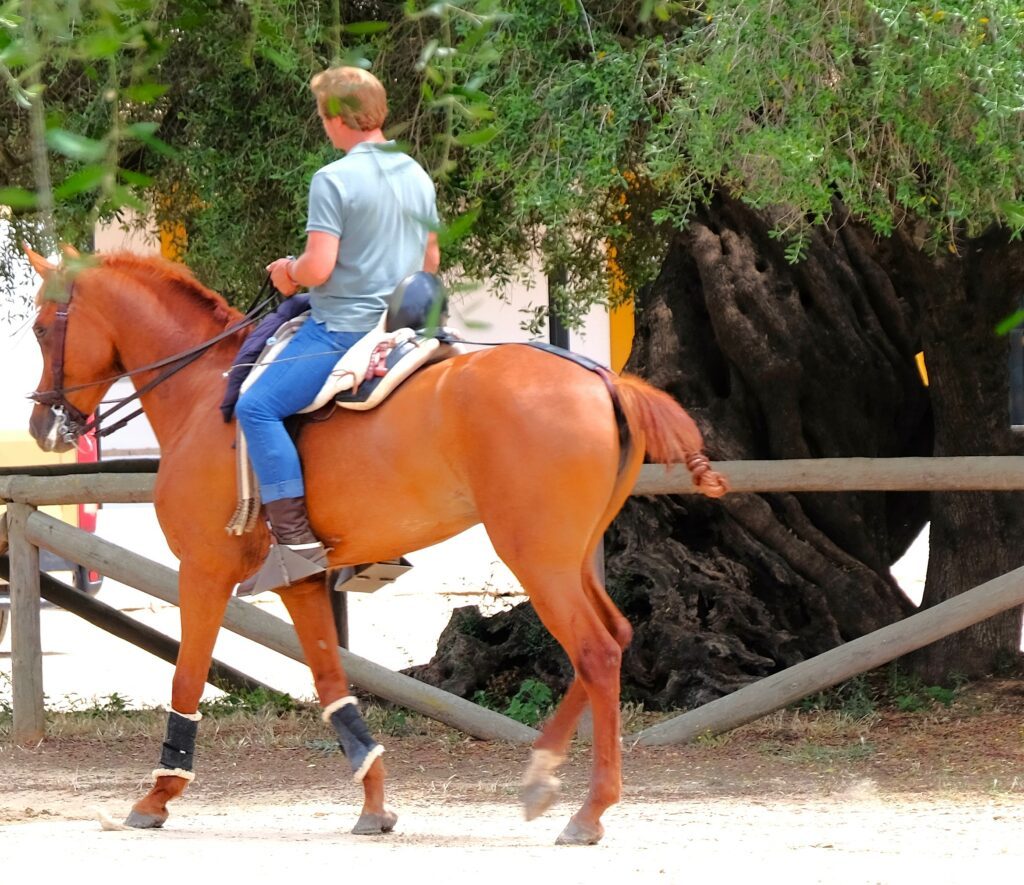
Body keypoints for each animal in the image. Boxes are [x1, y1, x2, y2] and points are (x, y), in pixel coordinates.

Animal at [24, 249, 727, 845]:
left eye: (38, 328)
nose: (40, 424)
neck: (203, 389)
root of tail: (602, 378)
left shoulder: (202, 568)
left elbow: (187, 678)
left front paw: (159, 794)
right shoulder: (298, 579)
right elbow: (333, 685)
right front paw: (374, 801)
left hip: (537, 558)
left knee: (596, 651)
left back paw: (589, 809)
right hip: (569, 557)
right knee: (615, 638)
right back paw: (541, 776)